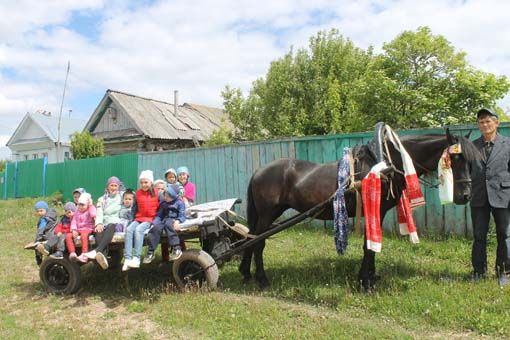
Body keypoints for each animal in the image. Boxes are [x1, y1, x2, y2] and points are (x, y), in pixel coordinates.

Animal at [239, 130, 482, 290]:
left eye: (471, 160)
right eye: (455, 158)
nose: (465, 196)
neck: (387, 165)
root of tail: (259, 171)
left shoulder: (378, 212)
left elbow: (370, 244)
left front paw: (370, 276)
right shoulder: (375, 210)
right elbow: (369, 245)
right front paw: (365, 281)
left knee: (251, 238)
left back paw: (246, 272)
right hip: (268, 213)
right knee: (258, 242)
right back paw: (262, 279)